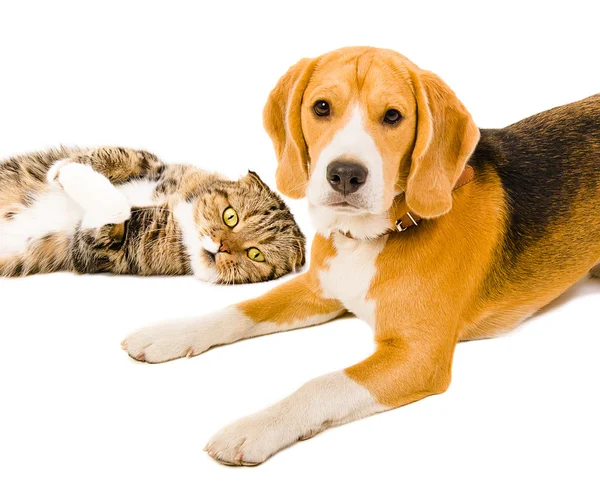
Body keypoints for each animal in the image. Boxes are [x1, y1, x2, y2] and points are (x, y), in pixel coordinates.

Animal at [0, 146, 308, 282]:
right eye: (230, 216)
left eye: (255, 254)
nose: (221, 247)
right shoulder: (157, 166)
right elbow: (125, 155)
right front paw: (64, 167)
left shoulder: (99, 250)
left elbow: (114, 209)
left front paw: (70, 173)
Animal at [122, 46, 600, 468]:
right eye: (321, 107)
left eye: (393, 116)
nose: (346, 174)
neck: (373, 236)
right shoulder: (318, 289)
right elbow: (242, 309)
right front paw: (170, 333)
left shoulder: (417, 356)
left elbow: (321, 384)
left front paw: (254, 428)